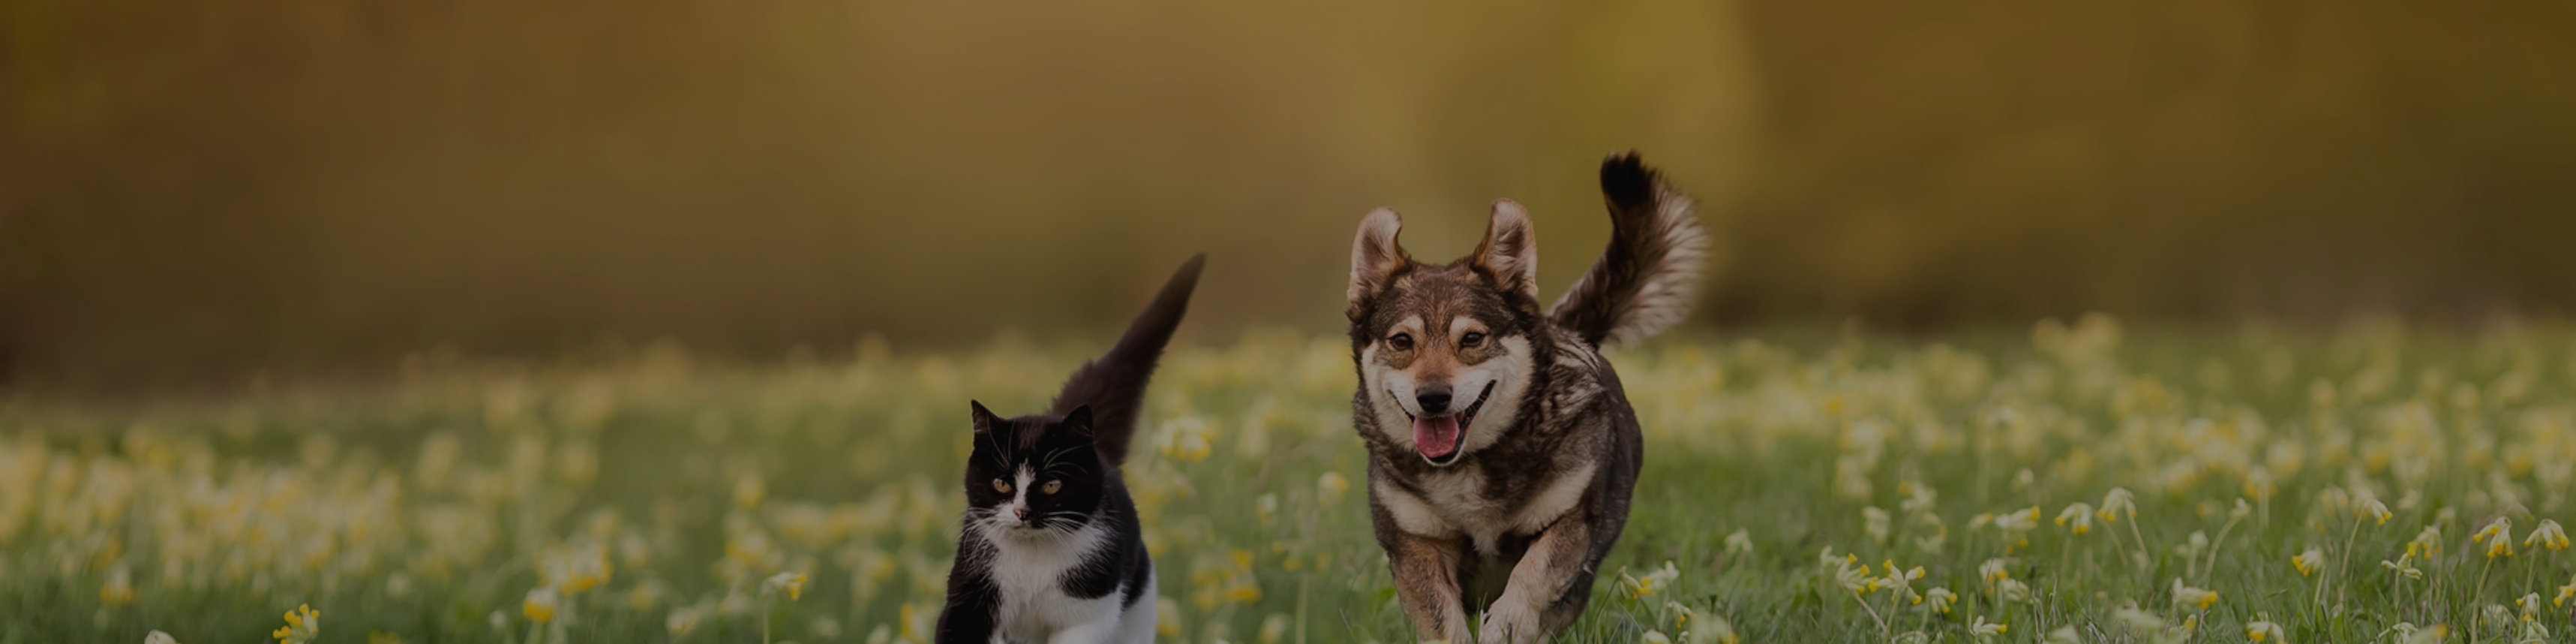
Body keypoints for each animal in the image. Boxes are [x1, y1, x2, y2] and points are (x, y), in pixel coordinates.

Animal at [932, 254, 1200, 644]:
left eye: (1051, 485)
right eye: (1001, 483)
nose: (1021, 512)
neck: (1033, 561)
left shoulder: (1091, 614)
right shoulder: (971, 594)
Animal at [1350, 153, 1710, 641]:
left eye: (1473, 338)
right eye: (1402, 341)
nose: (1433, 397)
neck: (1471, 464)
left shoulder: (1570, 521)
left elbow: (1533, 574)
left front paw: (1506, 623)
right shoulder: (1416, 545)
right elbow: (1441, 617)